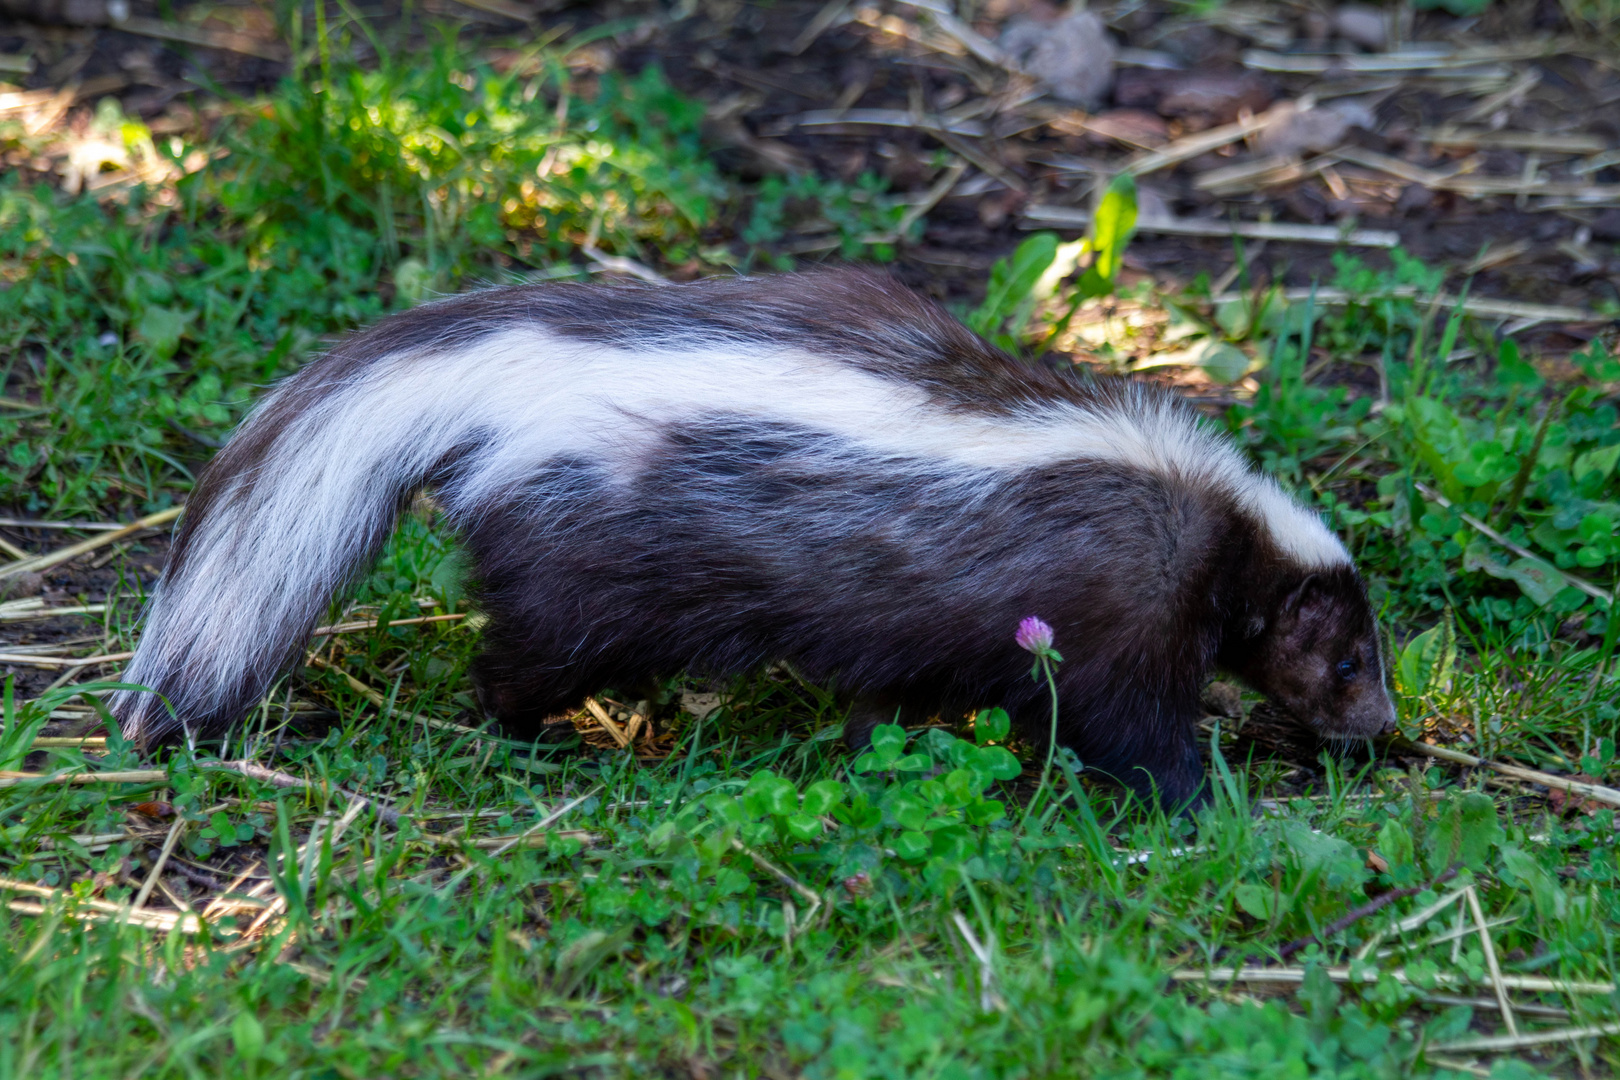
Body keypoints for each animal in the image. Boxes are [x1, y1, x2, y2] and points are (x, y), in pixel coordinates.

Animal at [110, 268, 1393, 803]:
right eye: (1343, 660)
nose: (1379, 727)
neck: (1227, 529)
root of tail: (522, 361)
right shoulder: (1120, 600)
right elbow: (1126, 722)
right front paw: (1200, 798)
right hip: (591, 553)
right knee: (526, 652)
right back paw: (542, 737)